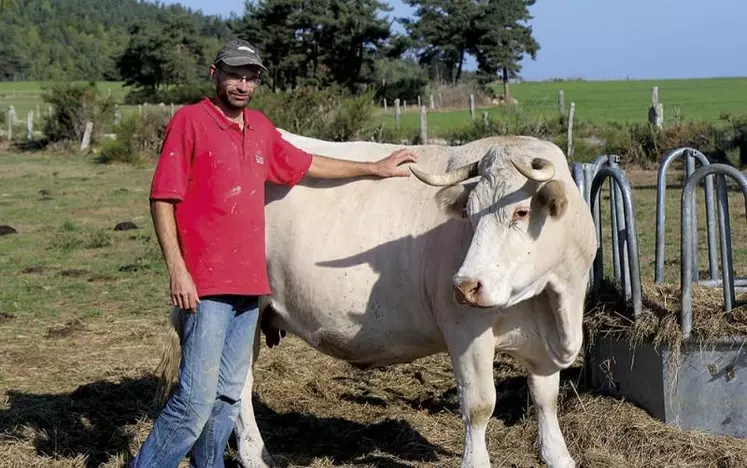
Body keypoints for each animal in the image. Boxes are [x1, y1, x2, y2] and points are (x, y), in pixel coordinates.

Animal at [156, 131, 596, 468]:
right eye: (469, 214)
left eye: (521, 212)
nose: (465, 285)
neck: (553, 302)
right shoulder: (466, 333)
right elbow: (479, 405)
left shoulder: (543, 341)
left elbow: (545, 399)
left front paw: (559, 457)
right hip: (237, 309)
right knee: (237, 384)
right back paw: (255, 455)